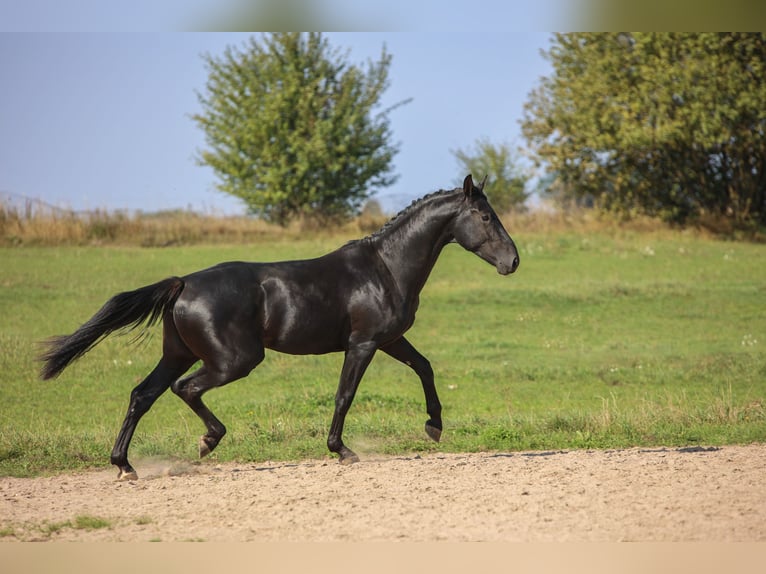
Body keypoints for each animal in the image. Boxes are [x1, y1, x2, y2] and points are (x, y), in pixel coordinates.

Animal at [39, 176, 520, 482]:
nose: (513, 261)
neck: (384, 268)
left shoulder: (390, 339)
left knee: (143, 394)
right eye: (484, 216)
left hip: (179, 353)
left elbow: (424, 367)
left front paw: (433, 425)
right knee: (185, 389)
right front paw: (342, 451)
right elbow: (345, 394)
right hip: (235, 360)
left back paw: (125, 466)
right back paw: (206, 442)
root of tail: (184, 283)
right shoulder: (363, 344)